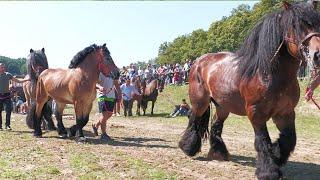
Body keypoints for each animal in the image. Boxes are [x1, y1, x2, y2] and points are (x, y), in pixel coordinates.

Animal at [179, 1, 320, 180]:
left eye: (319, 23)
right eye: (296, 25)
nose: (318, 55)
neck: (269, 74)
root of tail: (198, 61)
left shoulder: (285, 112)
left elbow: (289, 139)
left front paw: (276, 156)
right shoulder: (256, 113)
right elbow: (263, 140)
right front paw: (268, 171)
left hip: (223, 106)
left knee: (216, 124)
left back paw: (219, 153)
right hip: (200, 101)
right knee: (194, 119)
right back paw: (187, 147)